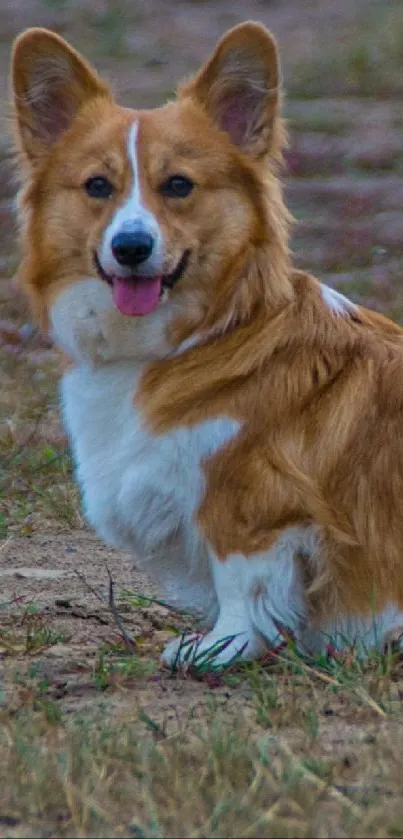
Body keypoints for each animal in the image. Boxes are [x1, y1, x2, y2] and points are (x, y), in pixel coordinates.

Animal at [10, 19, 403, 668]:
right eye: (97, 186)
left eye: (178, 185)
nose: (132, 247)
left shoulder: (251, 501)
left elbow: (243, 580)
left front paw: (221, 647)